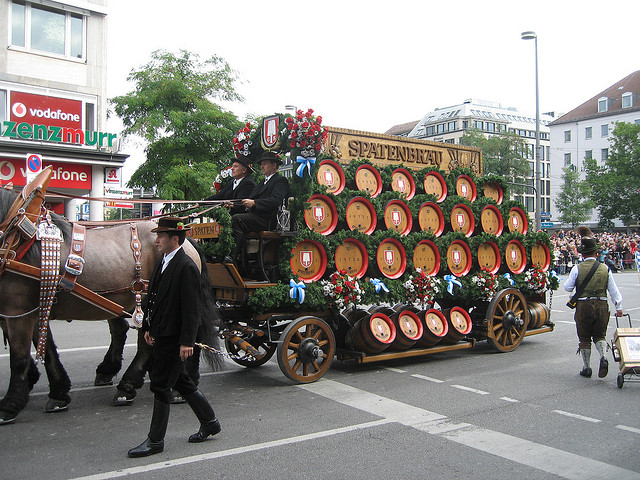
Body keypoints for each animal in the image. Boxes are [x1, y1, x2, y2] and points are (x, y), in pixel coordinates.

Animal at [0, 186, 222, 424]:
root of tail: (188, 242)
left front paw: (10, 404)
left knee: (162, 341)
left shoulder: (19, 311)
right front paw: (58, 392)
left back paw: (132, 386)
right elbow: (47, 349)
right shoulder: (33, 308)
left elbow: (19, 357)